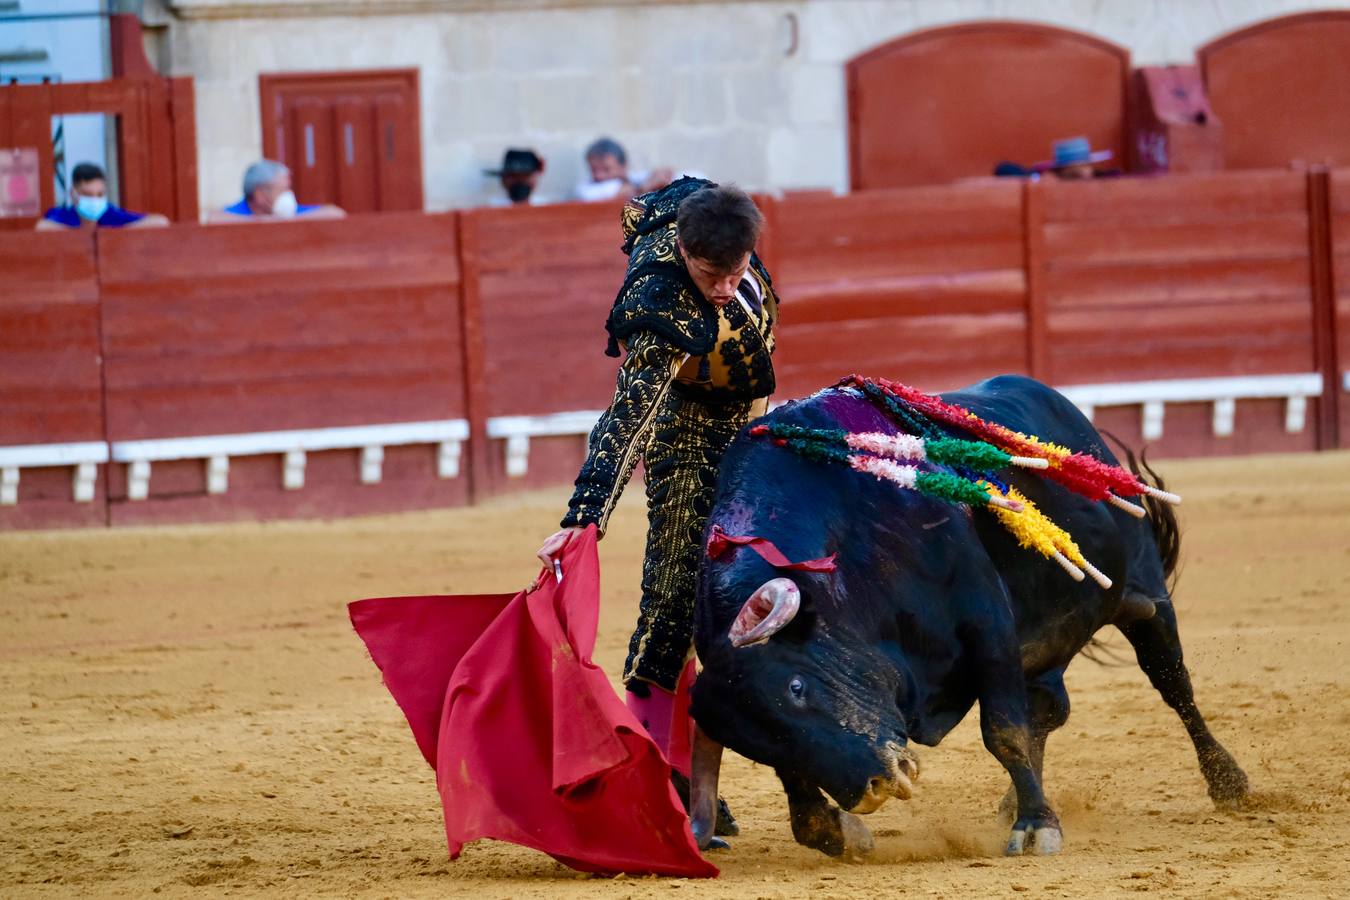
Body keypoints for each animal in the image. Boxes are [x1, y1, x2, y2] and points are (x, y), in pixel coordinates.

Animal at [691, 372, 1247, 858]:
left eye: (796, 687)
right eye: (754, 741)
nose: (873, 788)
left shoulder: (986, 620)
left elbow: (1003, 730)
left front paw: (1035, 828)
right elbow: (799, 794)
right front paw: (839, 831)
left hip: (1144, 598)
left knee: (1172, 683)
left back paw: (1228, 782)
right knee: (1049, 707)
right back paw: (1012, 801)